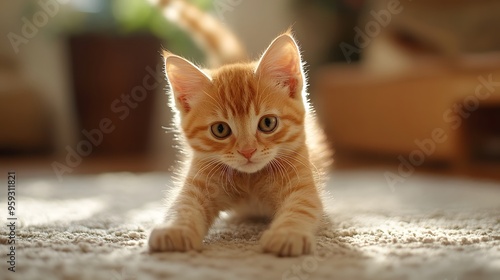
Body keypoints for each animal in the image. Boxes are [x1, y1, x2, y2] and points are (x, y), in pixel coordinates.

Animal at [146, 0, 330, 256]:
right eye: (220, 130)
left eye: (268, 123)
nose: (247, 151)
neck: (250, 180)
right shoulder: (198, 180)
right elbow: (183, 204)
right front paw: (174, 230)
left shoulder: (302, 183)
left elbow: (302, 207)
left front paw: (287, 234)